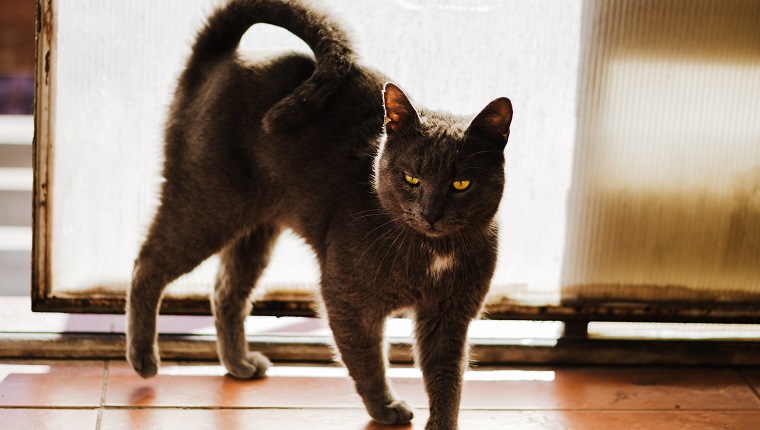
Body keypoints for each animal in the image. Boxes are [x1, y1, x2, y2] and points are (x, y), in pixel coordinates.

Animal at [127, 1, 512, 428]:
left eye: (461, 184)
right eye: (411, 178)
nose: (431, 212)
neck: (431, 254)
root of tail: (221, 54)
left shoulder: (449, 315)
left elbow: (447, 380)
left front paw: (440, 422)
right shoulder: (346, 297)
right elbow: (367, 361)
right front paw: (385, 407)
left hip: (254, 230)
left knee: (226, 291)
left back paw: (239, 364)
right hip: (209, 203)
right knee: (148, 264)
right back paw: (143, 359)